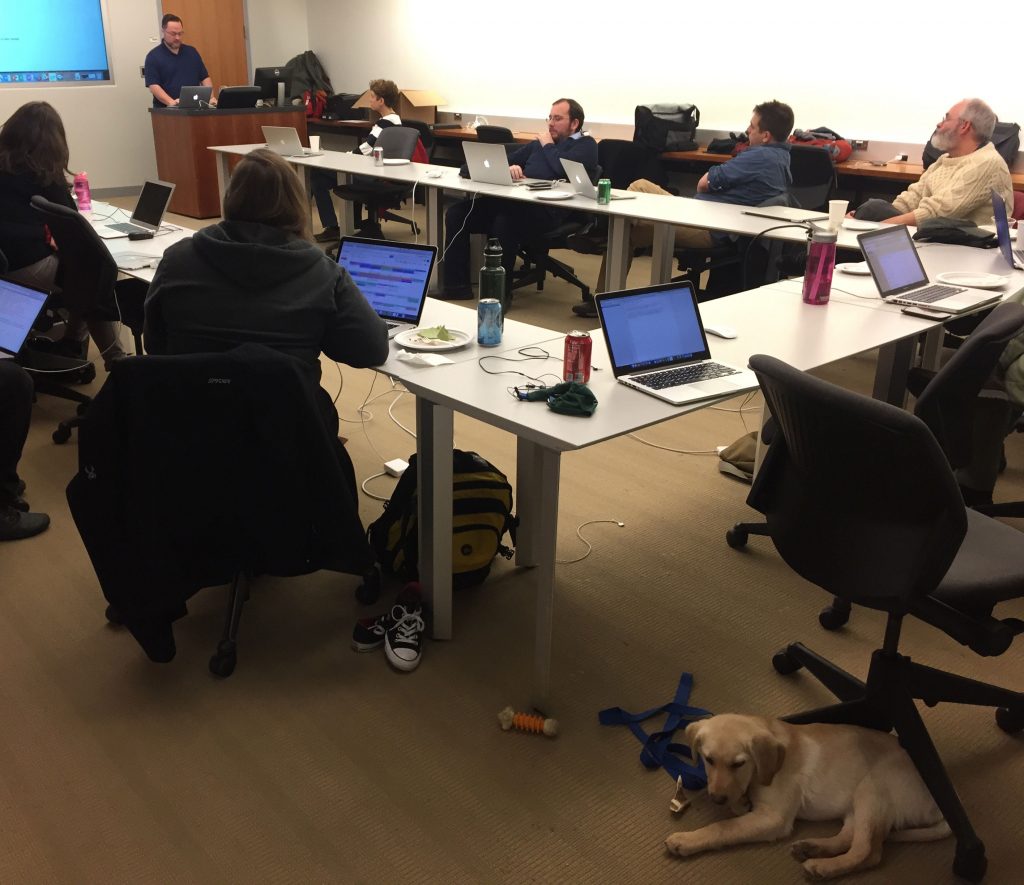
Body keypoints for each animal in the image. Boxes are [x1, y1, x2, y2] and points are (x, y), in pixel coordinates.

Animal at [663, 717, 950, 880]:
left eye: (739, 763)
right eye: (708, 760)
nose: (716, 799)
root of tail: (939, 804)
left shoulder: (774, 819)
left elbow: (723, 827)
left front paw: (687, 839)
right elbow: (738, 806)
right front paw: (740, 802)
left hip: (873, 788)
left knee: (868, 851)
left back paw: (824, 868)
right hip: (856, 804)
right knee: (850, 837)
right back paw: (812, 848)